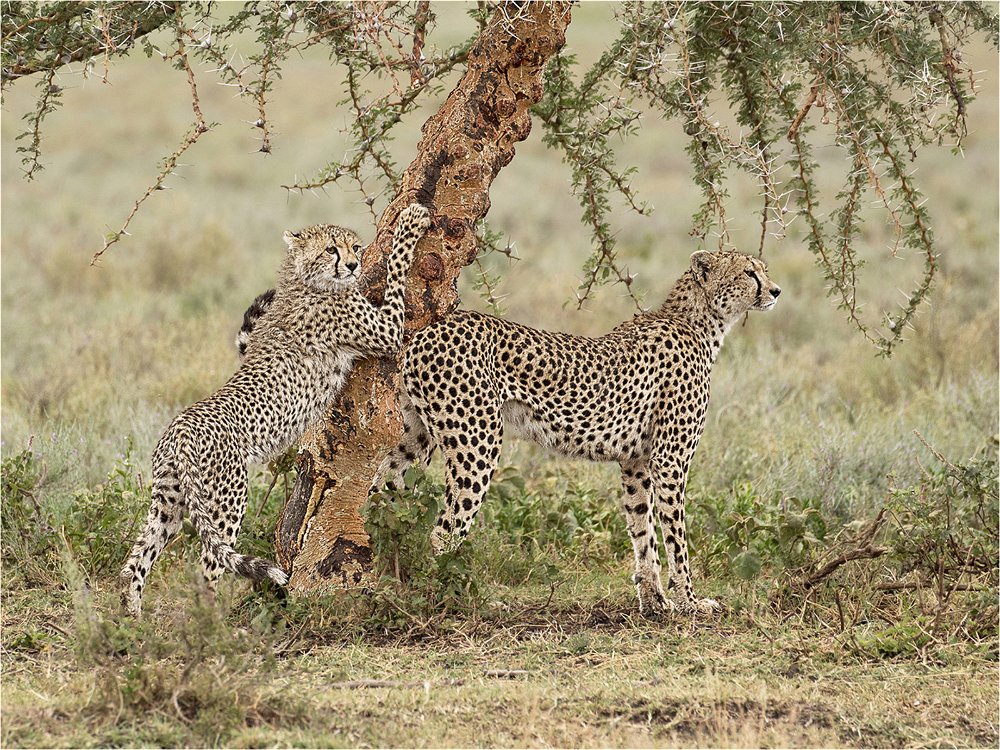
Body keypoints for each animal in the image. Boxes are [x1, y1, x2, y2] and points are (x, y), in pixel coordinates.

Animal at [120, 203, 430, 612]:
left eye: (355, 247)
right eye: (331, 249)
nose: (352, 265)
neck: (305, 280)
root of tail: (180, 427)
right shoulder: (388, 330)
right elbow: (396, 272)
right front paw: (411, 223)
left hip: (169, 497)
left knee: (137, 558)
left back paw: (131, 617)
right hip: (226, 497)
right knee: (208, 568)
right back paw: (216, 623)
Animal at [376, 250, 780, 620]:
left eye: (763, 268)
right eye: (749, 272)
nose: (775, 290)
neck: (699, 321)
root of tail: (429, 327)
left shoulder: (636, 462)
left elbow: (643, 531)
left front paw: (654, 601)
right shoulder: (670, 460)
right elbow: (675, 537)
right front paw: (690, 602)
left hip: (414, 438)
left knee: (380, 497)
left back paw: (381, 583)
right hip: (477, 444)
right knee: (443, 531)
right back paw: (455, 599)